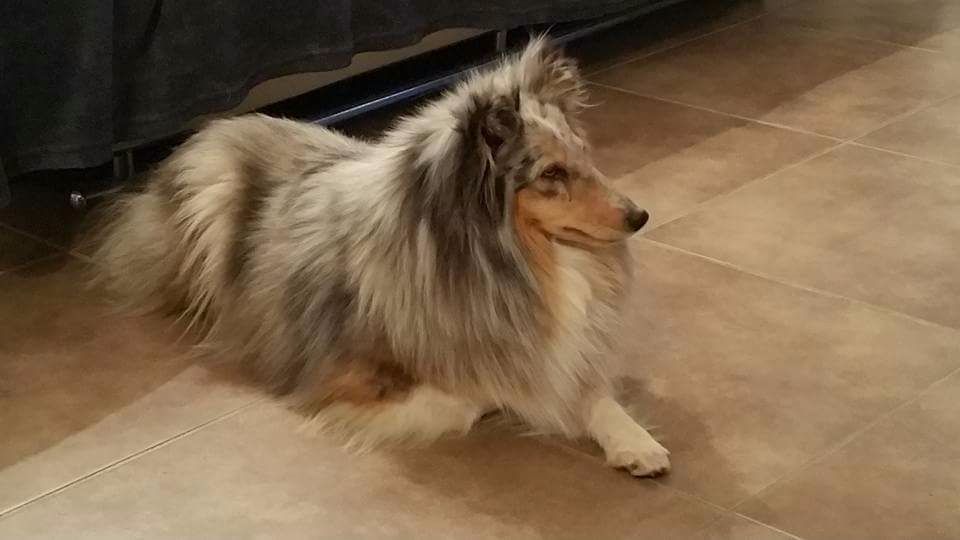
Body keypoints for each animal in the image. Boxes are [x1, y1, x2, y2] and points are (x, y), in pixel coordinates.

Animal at [92, 37, 670, 477]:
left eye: (583, 156)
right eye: (551, 173)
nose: (640, 216)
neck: (517, 264)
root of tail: (219, 125)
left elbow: (590, 390)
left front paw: (636, 443)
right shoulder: (340, 374)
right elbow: (469, 400)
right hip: (210, 202)